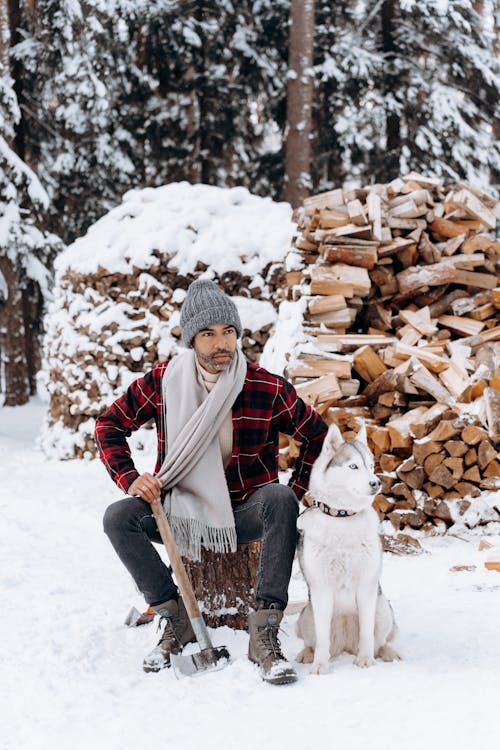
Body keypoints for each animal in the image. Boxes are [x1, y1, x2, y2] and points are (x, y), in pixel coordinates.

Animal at [296, 424, 398, 676]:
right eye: (353, 466)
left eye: (371, 465)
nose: (376, 483)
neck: (342, 517)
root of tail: (344, 645)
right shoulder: (321, 589)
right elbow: (322, 638)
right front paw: (320, 665)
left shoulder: (366, 587)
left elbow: (367, 633)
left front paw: (366, 660)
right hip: (306, 616)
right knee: (313, 641)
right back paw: (307, 654)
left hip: (383, 609)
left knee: (380, 641)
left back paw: (386, 652)